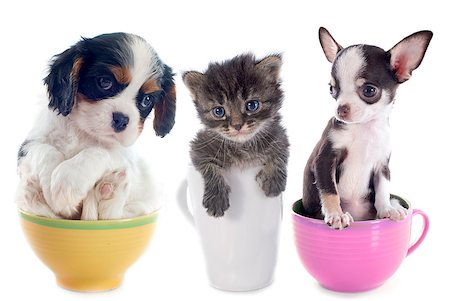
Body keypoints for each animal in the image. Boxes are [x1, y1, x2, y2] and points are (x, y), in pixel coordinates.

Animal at [15, 32, 176, 219]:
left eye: (147, 100)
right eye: (105, 82)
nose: (122, 120)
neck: (82, 130)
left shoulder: (125, 157)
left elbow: (101, 151)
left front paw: (67, 181)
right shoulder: (29, 145)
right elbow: (45, 150)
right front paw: (51, 184)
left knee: (112, 215)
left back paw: (112, 188)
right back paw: (33, 194)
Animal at [182, 52, 288, 216]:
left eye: (252, 105)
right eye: (219, 111)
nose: (237, 125)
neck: (243, 145)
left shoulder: (281, 136)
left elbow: (279, 152)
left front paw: (273, 180)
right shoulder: (198, 147)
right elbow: (209, 167)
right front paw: (216, 198)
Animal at [302, 28, 432, 230]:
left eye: (369, 91)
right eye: (332, 89)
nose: (340, 109)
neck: (364, 127)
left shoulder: (382, 165)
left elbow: (383, 190)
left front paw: (387, 209)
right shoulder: (324, 160)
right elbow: (330, 191)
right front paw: (336, 214)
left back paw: (395, 207)